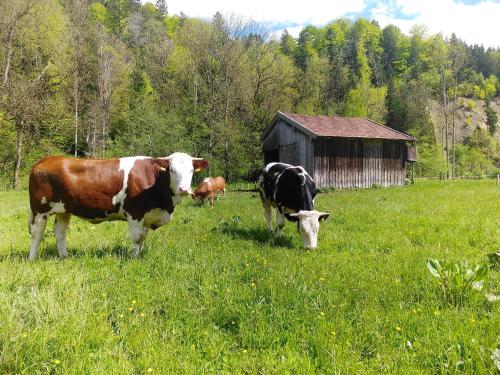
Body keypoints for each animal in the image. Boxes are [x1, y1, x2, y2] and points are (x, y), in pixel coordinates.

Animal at [27, 151, 207, 260]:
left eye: (191, 170)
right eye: (172, 170)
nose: (184, 189)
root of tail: (46, 159)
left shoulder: (147, 215)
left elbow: (143, 237)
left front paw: (139, 255)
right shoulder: (135, 213)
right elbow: (137, 237)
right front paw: (133, 259)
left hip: (64, 209)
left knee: (60, 232)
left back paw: (64, 257)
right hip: (39, 209)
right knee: (37, 233)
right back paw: (32, 258)